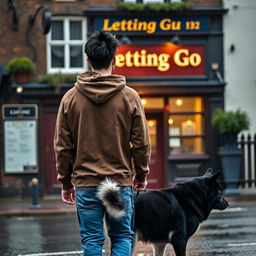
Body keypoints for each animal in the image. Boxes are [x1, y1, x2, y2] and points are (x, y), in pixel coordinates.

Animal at [97, 168, 229, 256]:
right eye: (220, 193)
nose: (228, 204)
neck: (193, 196)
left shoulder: (159, 243)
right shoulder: (179, 240)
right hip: (131, 238)